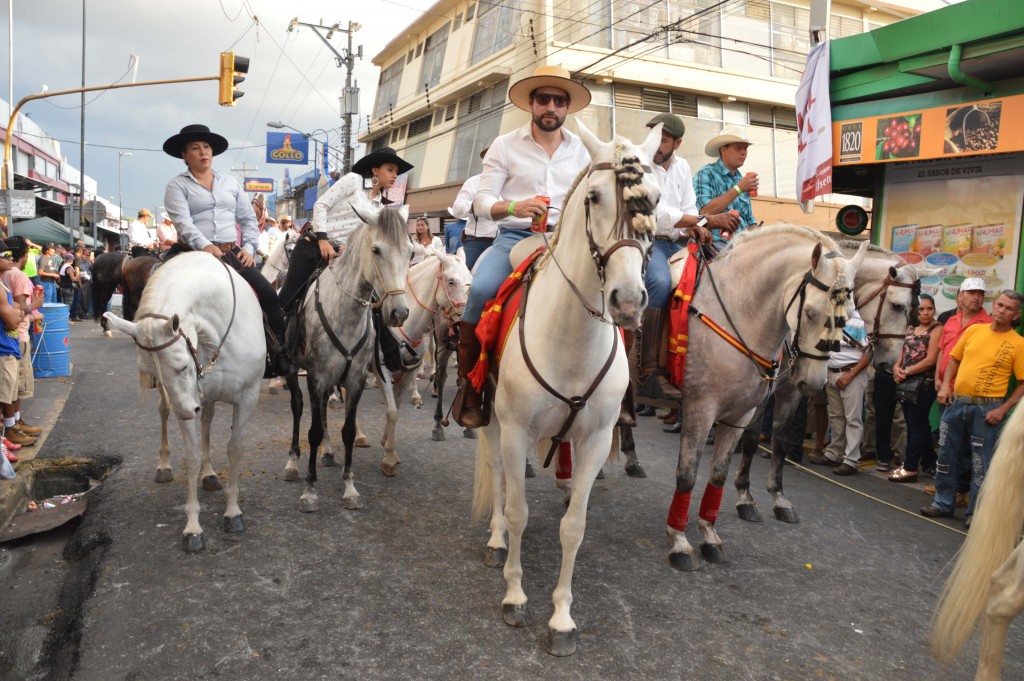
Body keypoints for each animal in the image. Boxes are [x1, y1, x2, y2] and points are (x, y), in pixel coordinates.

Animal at [102, 251, 264, 548]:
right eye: (153, 373)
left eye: (183, 365)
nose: (188, 411)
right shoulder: (186, 398)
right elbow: (191, 455)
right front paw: (193, 527)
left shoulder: (247, 396)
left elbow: (234, 449)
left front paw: (233, 512)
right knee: (166, 413)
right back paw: (165, 466)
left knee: (207, 423)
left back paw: (209, 473)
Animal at [376, 246, 471, 475]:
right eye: (451, 281)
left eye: (470, 280)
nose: (464, 323)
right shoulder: (383, 370)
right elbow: (392, 411)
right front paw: (389, 457)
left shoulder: (406, 370)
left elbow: (395, 408)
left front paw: (387, 445)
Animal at [468, 120, 655, 655]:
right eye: (593, 197)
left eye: (654, 199)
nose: (628, 301)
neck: (571, 338)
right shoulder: (514, 431)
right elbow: (518, 511)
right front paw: (514, 596)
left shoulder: (594, 442)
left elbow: (573, 526)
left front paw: (562, 619)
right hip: (490, 421)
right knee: (499, 476)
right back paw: (495, 543)